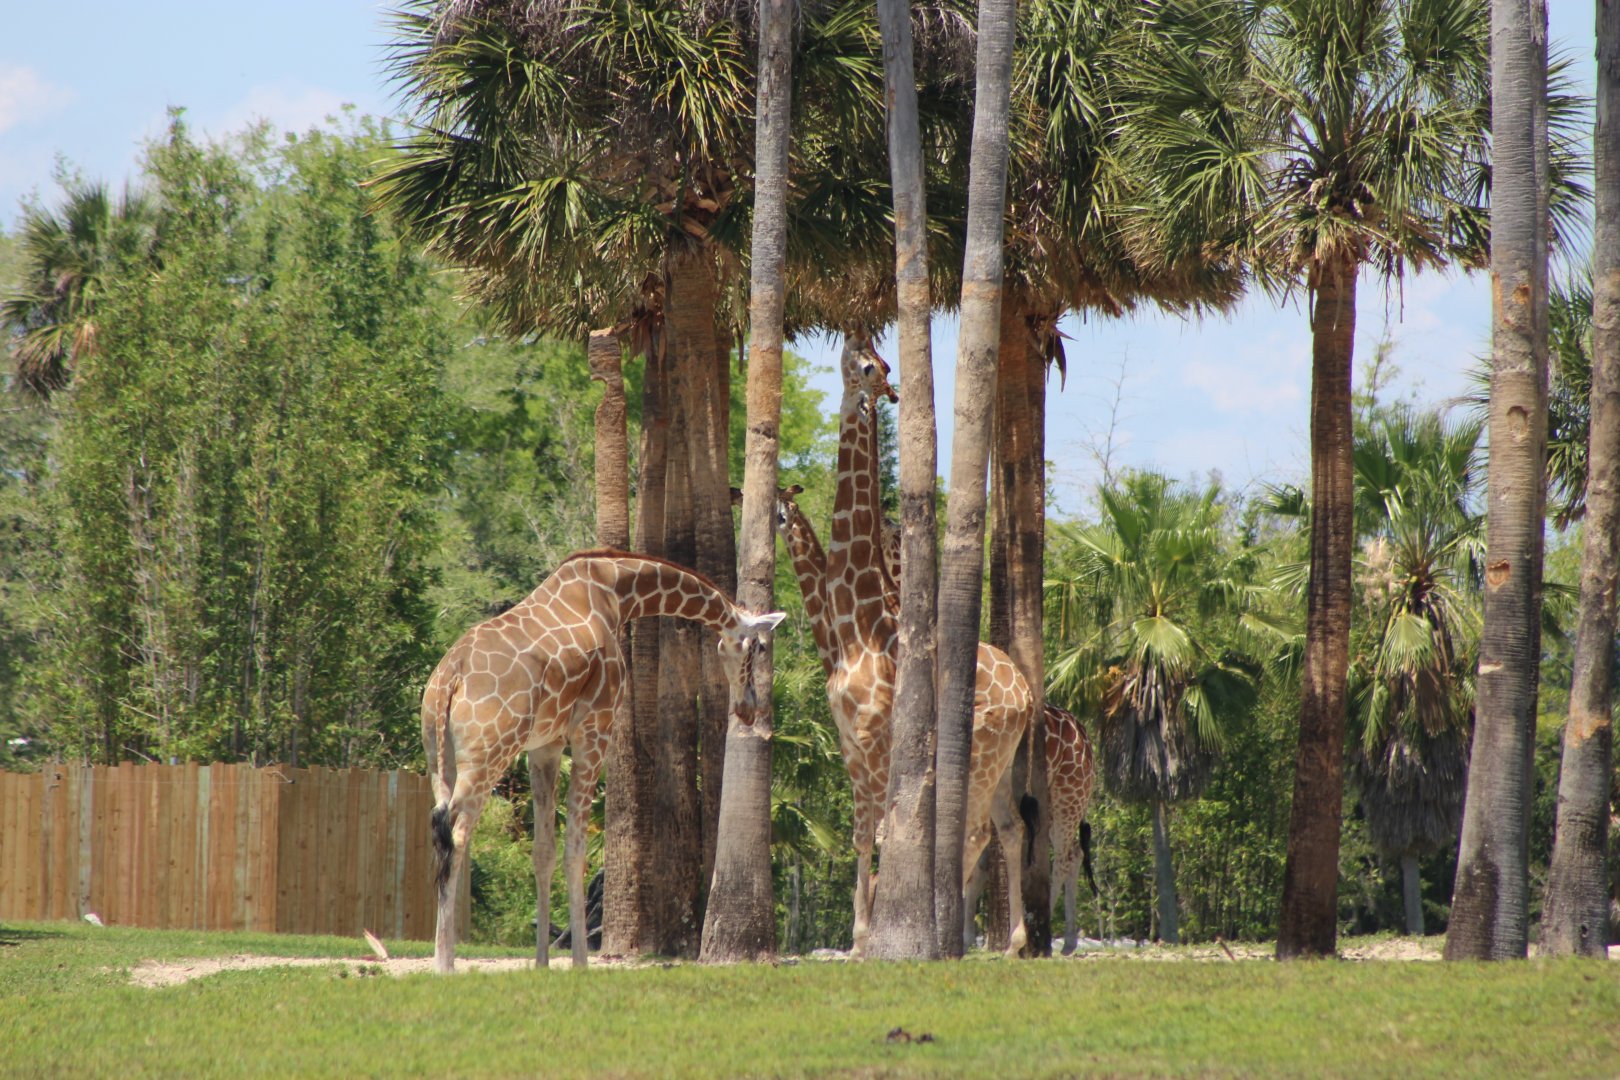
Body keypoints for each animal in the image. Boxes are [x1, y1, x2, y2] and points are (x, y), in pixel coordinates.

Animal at [420, 551, 784, 974]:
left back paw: (443, 959)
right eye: (757, 647)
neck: (616, 593)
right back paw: (445, 965)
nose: (748, 708)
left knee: (439, 830)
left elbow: (543, 852)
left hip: (439, 758)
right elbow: (576, 851)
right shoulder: (595, 729)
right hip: (488, 755)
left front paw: (542, 964)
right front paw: (580, 963)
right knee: (457, 833)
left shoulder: (543, 746)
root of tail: (451, 677)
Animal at [821, 338, 1036, 955]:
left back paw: (952, 935)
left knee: (978, 832)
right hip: (998, 763)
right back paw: (1009, 941)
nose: (852, 342)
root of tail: (1026, 695)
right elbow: (858, 834)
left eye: (870, 367)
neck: (858, 624)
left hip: (980, 754)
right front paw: (861, 938)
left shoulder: (875, 742)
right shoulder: (848, 743)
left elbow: (878, 832)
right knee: (1008, 828)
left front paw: (867, 938)